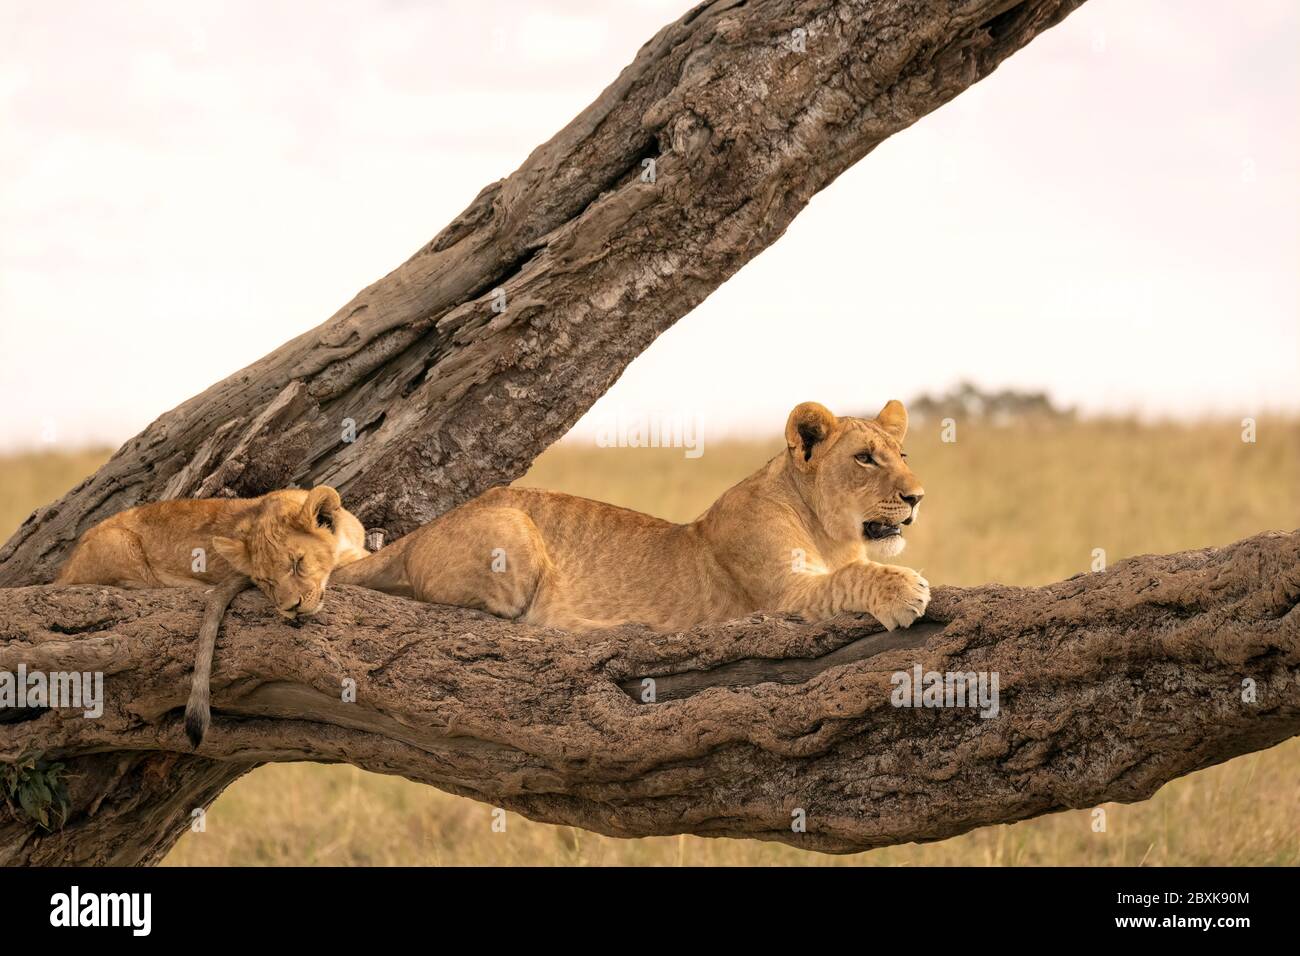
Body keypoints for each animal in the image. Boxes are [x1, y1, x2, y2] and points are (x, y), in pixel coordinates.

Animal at [333, 400, 929, 633]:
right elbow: (850, 578)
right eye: (865, 458)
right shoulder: (782, 597)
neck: (830, 533)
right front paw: (904, 589)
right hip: (515, 532)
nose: (918, 497)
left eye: (903, 454)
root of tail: (421, 531)